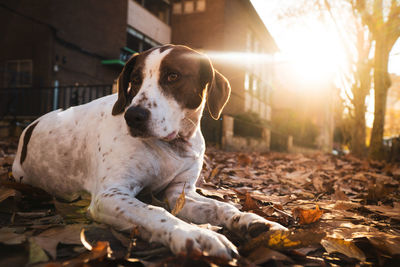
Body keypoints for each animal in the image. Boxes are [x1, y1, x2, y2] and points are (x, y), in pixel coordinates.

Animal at [12, 44, 286, 260]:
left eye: (173, 76)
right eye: (134, 80)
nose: (134, 116)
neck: (172, 145)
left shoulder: (180, 192)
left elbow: (221, 207)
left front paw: (253, 221)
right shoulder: (109, 195)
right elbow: (156, 212)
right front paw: (195, 235)